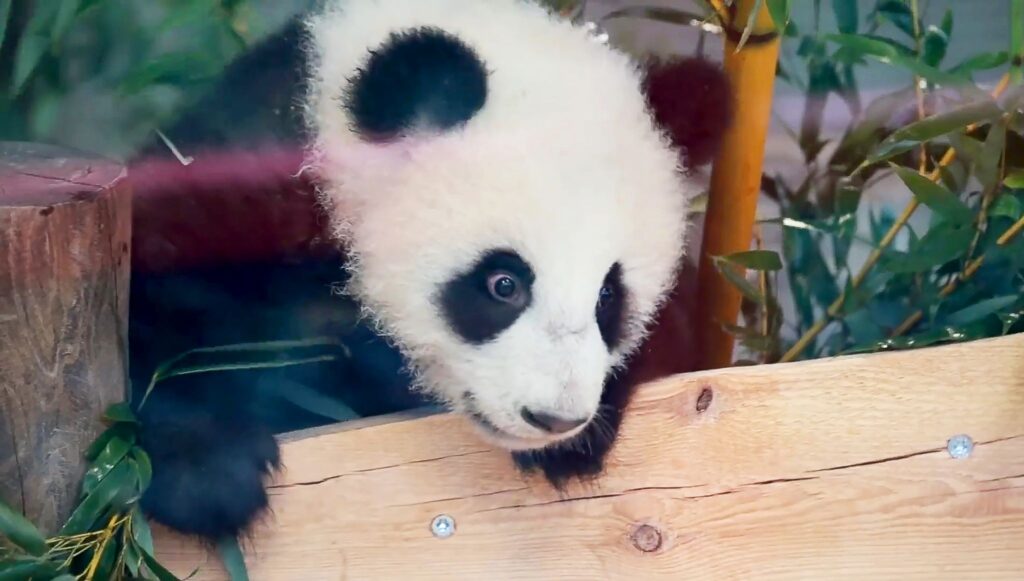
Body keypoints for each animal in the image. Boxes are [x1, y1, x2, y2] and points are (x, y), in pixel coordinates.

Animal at [133, 0, 731, 545]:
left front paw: (574, 446)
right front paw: (206, 472)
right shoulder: (255, 174)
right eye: (503, 284)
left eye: (609, 294)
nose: (554, 418)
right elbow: (165, 301)